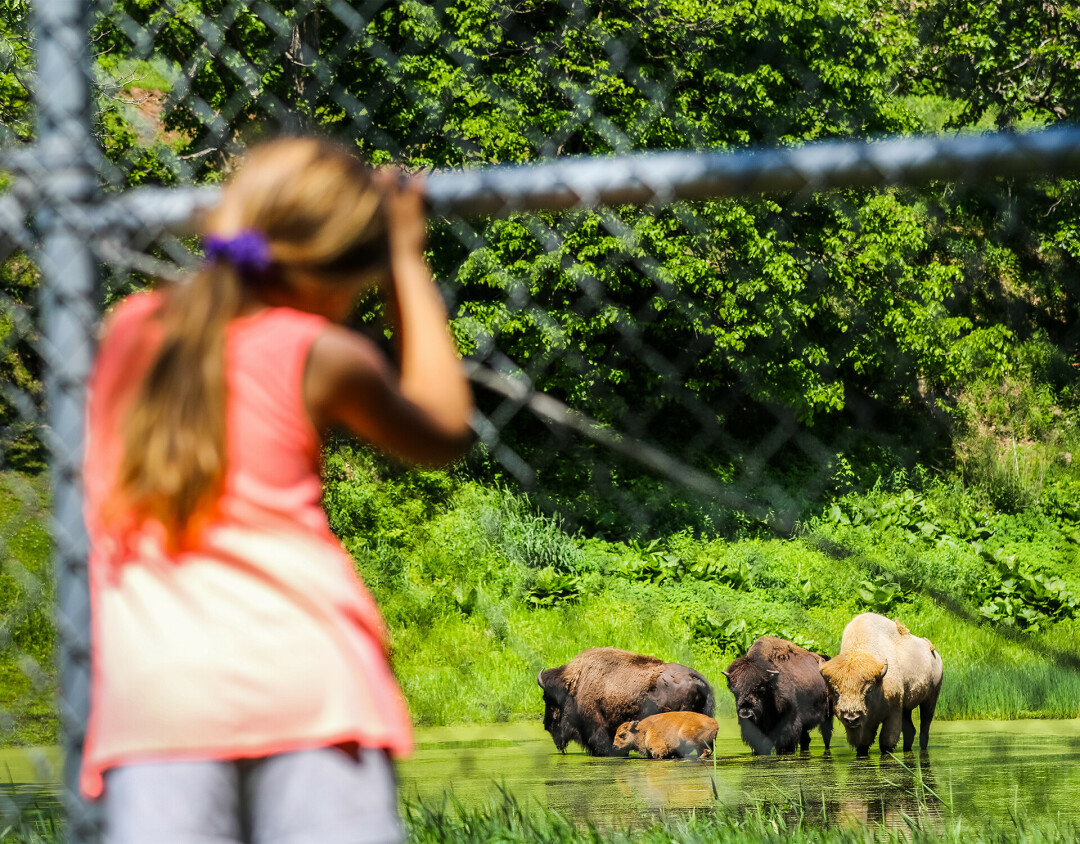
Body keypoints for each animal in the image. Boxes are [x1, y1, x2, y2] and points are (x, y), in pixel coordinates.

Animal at [816, 609, 946, 752]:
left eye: (868, 690)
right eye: (835, 692)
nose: (852, 718)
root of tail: (936, 656)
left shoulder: (894, 712)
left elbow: (886, 743)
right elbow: (862, 745)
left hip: (930, 699)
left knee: (924, 729)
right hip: (907, 707)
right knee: (910, 731)